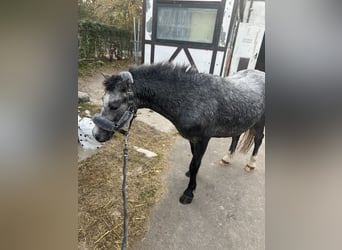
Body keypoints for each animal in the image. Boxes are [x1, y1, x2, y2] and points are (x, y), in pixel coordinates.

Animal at [93, 62, 264, 203]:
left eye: (114, 105)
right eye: (102, 99)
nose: (96, 135)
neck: (193, 97)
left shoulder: (203, 139)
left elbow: (195, 163)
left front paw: (189, 193)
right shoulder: (192, 139)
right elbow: (194, 160)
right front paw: (191, 177)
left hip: (259, 123)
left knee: (258, 140)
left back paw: (251, 164)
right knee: (236, 136)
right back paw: (227, 158)